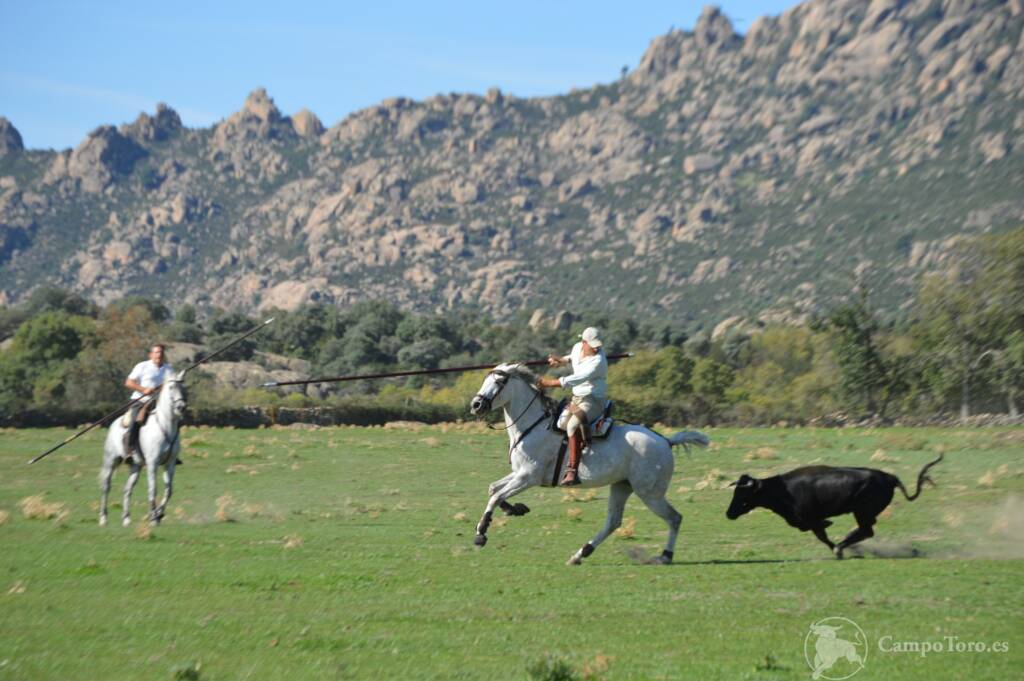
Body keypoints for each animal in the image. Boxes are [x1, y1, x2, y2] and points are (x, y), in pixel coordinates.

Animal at [98, 372, 187, 524]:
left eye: (183, 387)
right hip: (111, 461)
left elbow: (169, 490)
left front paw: (159, 513)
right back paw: (103, 518)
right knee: (106, 486)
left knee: (127, 489)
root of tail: (114, 424)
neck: (165, 427)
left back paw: (126, 519)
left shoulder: (169, 464)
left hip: (136, 466)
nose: (181, 407)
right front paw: (153, 517)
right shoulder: (152, 463)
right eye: (171, 387)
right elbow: (153, 489)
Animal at [468, 364, 708, 565]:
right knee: (614, 522)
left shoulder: (528, 477)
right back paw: (581, 554)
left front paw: (481, 532)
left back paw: (665, 556)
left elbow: (495, 496)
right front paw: (515, 509)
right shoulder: (518, 474)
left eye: (500, 381)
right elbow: (494, 489)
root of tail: (666, 441)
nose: (476, 405)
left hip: (650, 493)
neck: (532, 426)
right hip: (622, 486)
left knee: (674, 518)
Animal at [729, 450, 942, 557]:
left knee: (866, 530)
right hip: (863, 513)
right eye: (735, 491)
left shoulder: (811, 520)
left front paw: (837, 549)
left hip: (861, 511)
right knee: (865, 530)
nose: (728, 513)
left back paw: (842, 546)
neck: (783, 489)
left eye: (742, 493)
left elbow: (822, 533)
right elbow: (822, 535)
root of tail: (889, 477)